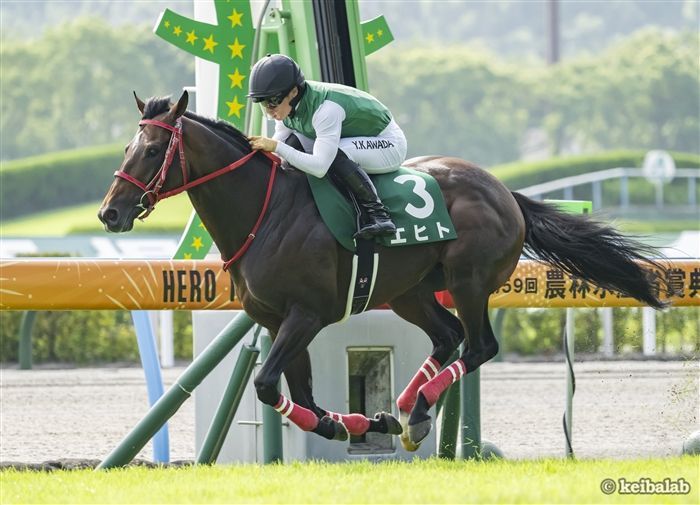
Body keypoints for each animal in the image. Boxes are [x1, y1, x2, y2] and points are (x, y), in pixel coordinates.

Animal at [99, 91, 668, 449]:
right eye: (127, 147)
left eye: (153, 149)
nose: (110, 213)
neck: (266, 211)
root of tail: (504, 191)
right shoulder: (276, 319)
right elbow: (297, 392)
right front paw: (354, 421)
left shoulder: (306, 315)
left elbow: (265, 384)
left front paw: (346, 425)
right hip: (410, 292)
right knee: (448, 337)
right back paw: (407, 407)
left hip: (468, 280)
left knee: (479, 345)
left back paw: (418, 411)